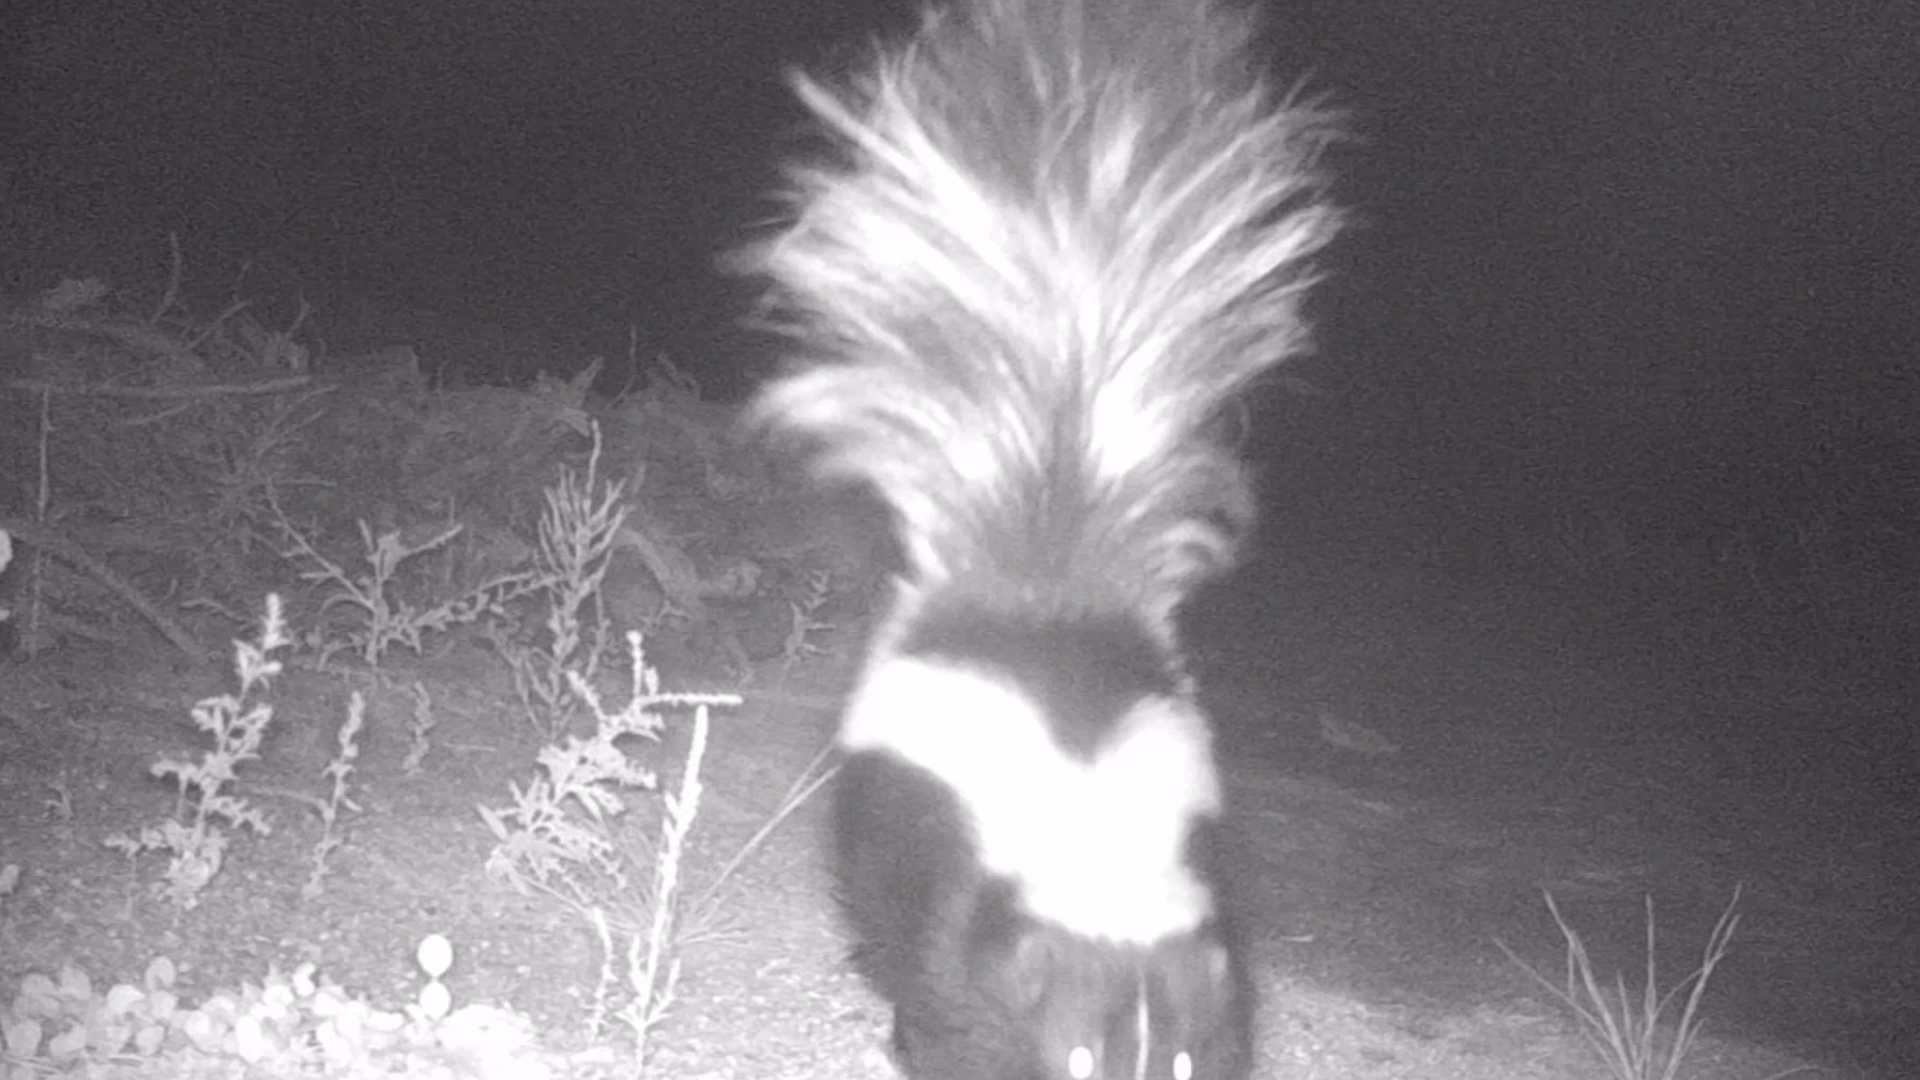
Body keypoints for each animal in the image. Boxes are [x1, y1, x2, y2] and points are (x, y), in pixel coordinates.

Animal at [741, 0, 1344, 1068]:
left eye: (1179, 1058)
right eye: (1076, 1053)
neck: (1094, 827)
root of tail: (1037, 579)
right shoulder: (961, 880)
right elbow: (944, 989)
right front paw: (915, 1039)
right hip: (874, 808)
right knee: (872, 901)